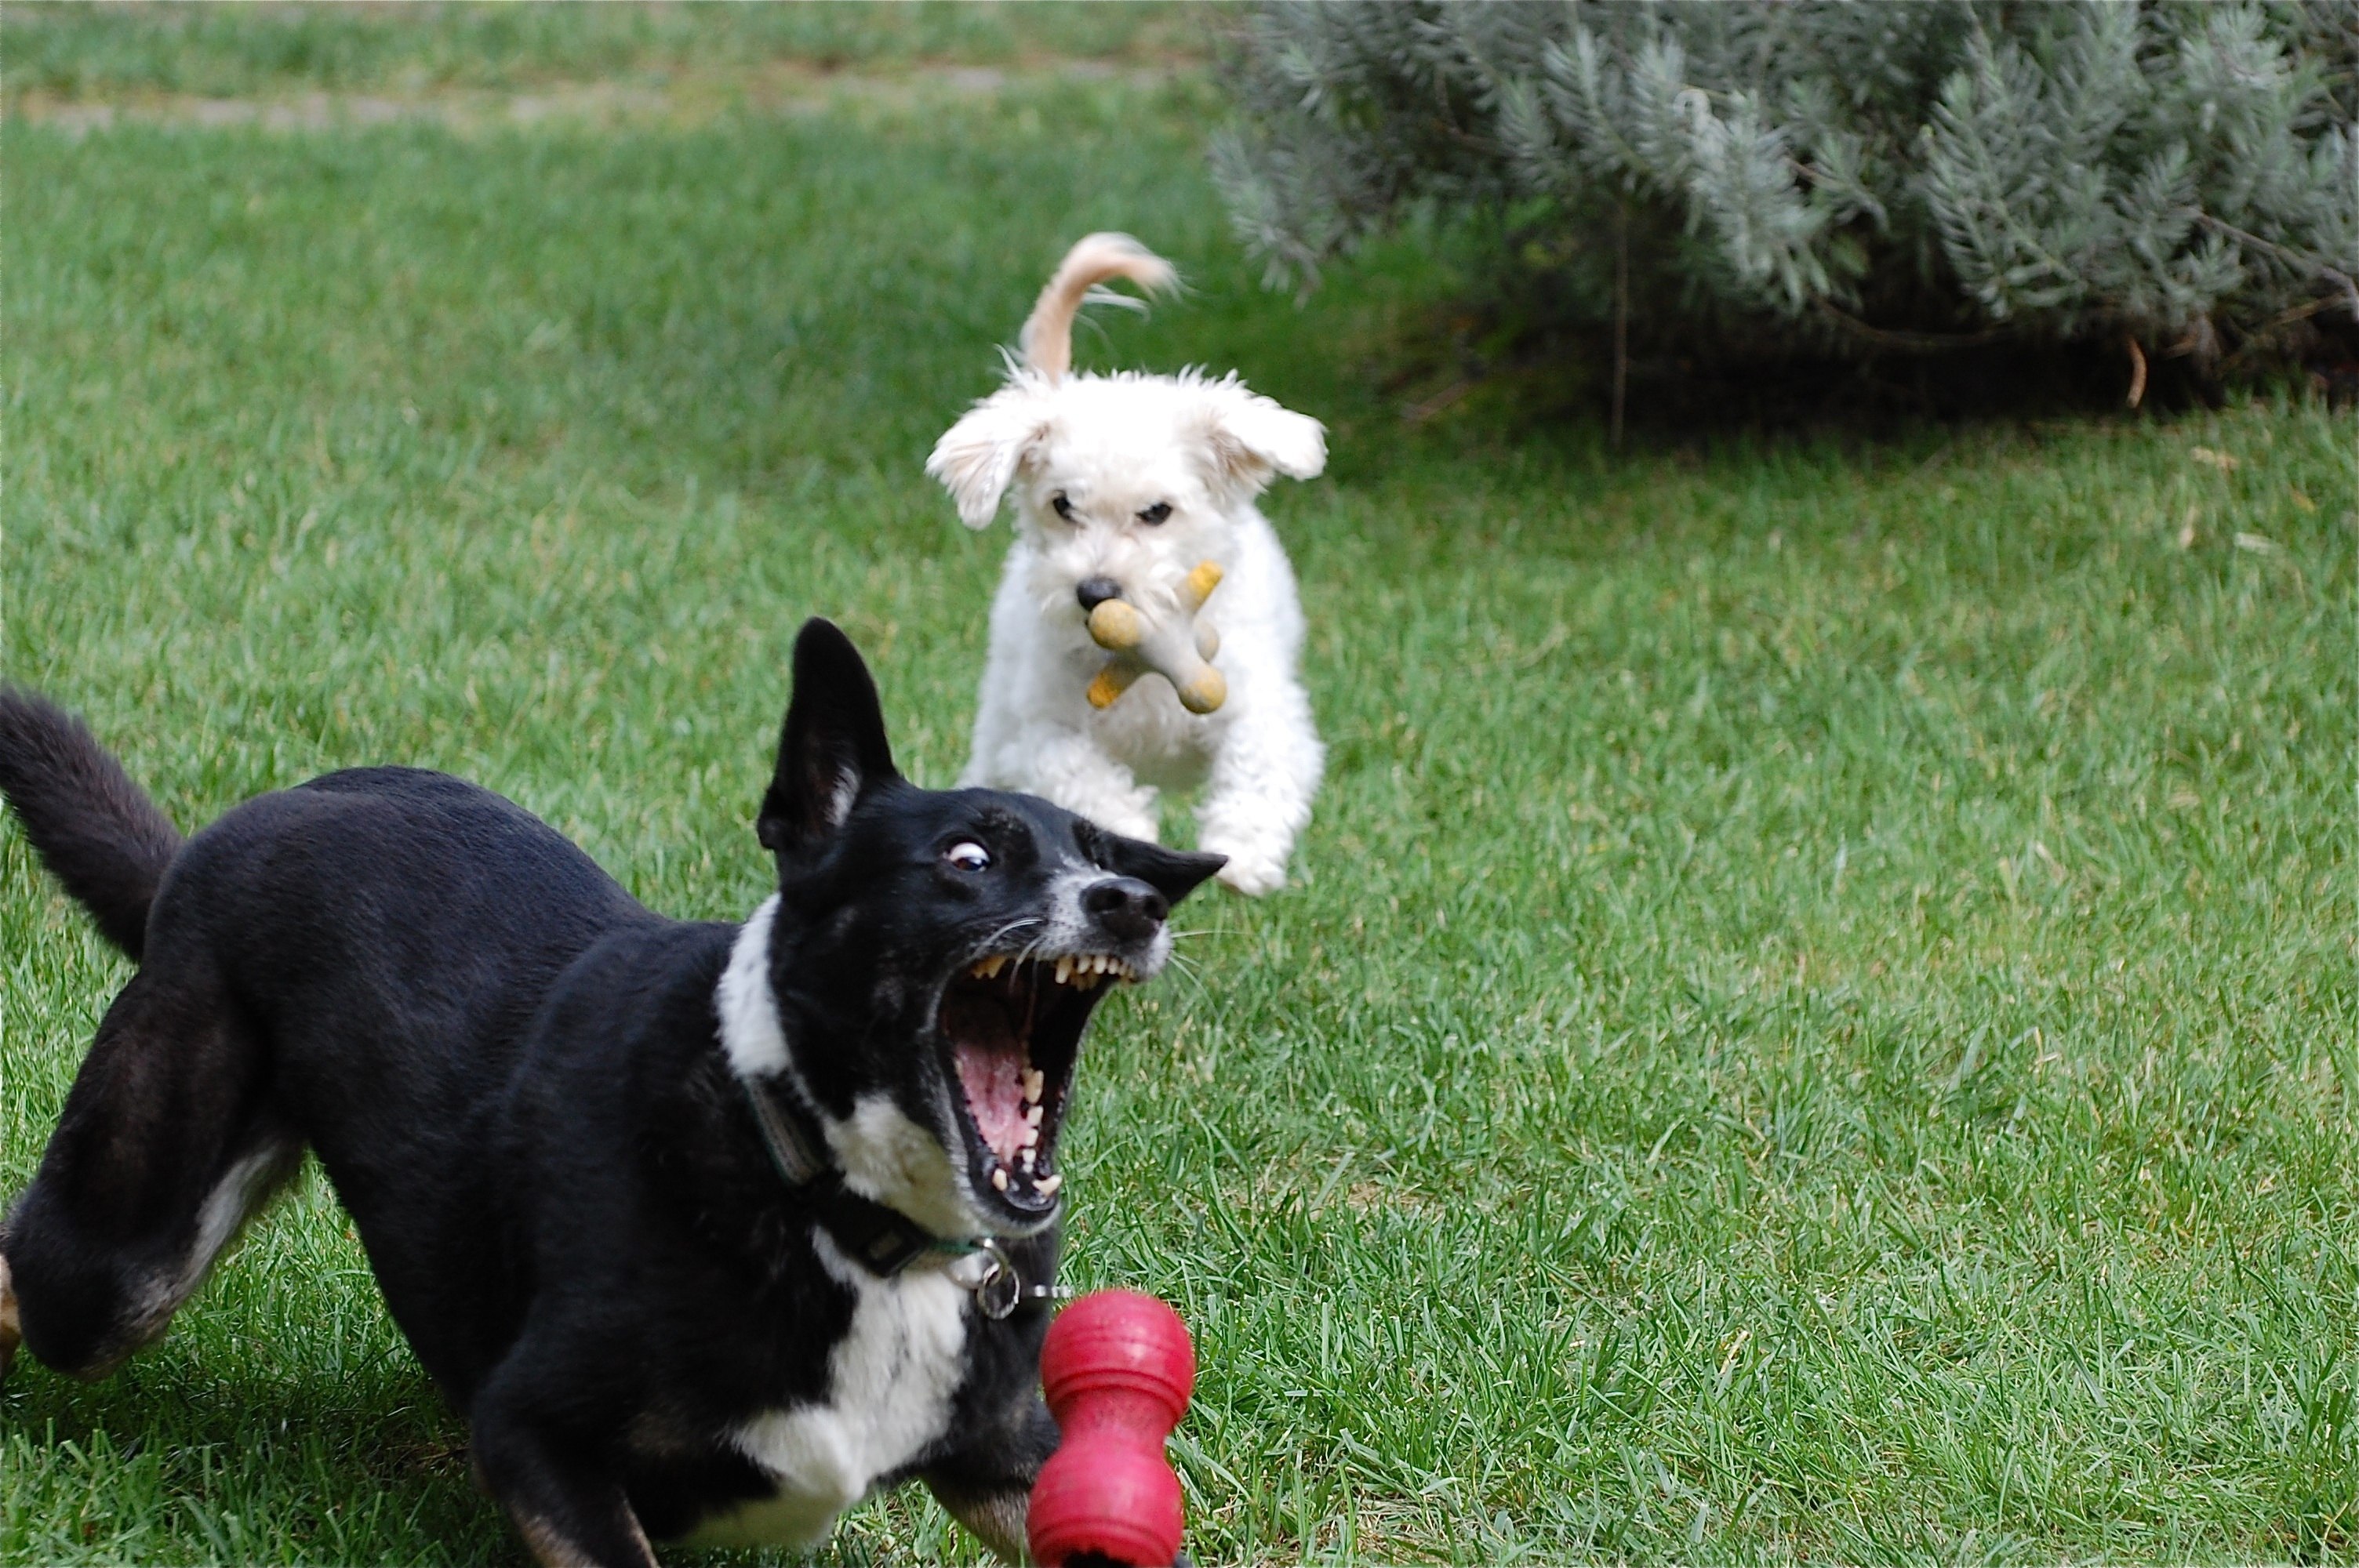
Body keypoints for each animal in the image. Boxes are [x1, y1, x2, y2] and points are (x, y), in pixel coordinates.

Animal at [0, 622, 1217, 1565]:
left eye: (1105, 857)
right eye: (968, 859)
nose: (1132, 905)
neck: (838, 1211)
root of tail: (204, 850)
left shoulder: (1005, 1459)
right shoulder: (536, 1439)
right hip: (115, 1267)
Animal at [920, 232, 1330, 891]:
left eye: (1157, 512)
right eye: (1063, 505)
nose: (1094, 591)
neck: (1142, 670)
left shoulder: (1260, 706)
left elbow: (1259, 765)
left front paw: (1243, 853)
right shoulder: (1044, 729)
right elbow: (1079, 775)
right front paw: (1123, 833)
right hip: (1000, 715)